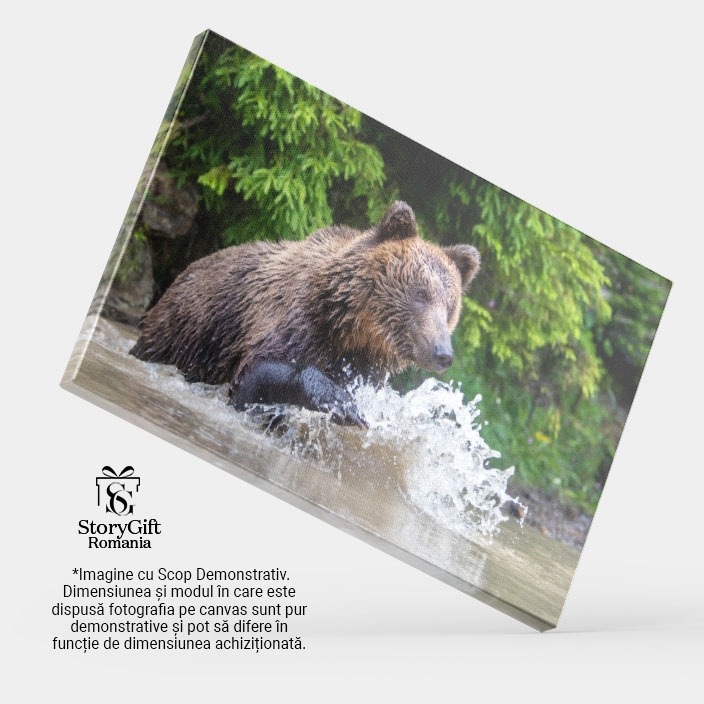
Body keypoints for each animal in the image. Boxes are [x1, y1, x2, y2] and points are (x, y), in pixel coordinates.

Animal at [130, 201, 480, 427]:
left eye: (450, 307)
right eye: (421, 294)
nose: (442, 352)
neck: (351, 327)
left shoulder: (366, 364)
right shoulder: (290, 318)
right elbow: (257, 373)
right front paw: (344, 405)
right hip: (188, 330)